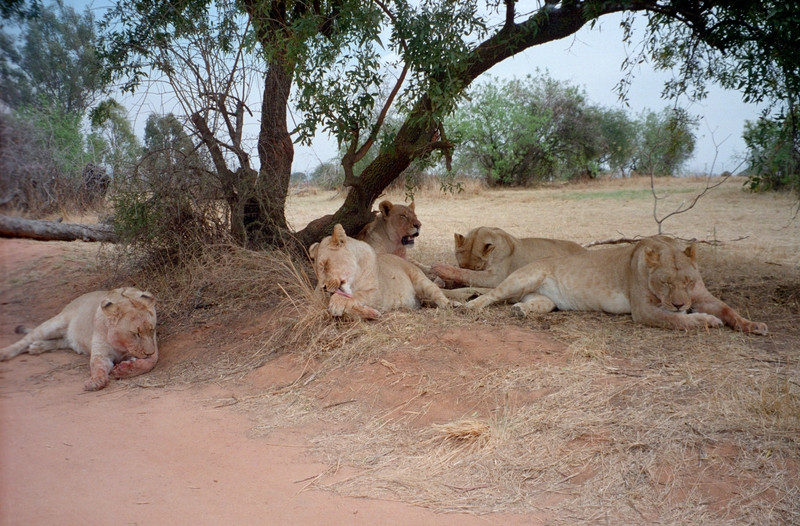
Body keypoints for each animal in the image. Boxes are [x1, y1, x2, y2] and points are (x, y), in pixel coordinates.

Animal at [0, 288, 159, 392]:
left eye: (151, 330)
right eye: (135, 334)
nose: (148, 352)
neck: (120, 343)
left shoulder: (153, 348)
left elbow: (149, 363)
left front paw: (125, 369)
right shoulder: (100, 352)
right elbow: (97, 366)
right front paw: (95, 381)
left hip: (67, 337)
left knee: (60, 341)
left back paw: (37, 347)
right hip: (55, 323)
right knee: (26, 339)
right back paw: (5, 353)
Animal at [310, 225, 454, 320]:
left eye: (324, 265)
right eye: (317, 271)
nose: (323, 287)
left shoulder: (378, 293)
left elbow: (356, 295)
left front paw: (337, 302)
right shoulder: (317, 300)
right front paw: (369, 312)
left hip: (420, 279)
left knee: (437, 293)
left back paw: (452, 304)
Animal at [466, 237, 764, 336]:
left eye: (688, 281)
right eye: (665, 282)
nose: (680, 304)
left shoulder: (700, 295)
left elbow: (727, 309)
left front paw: (753, 325)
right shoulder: (644, 311)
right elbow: (678, 321)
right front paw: (707, 321)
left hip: (545, 300)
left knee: (533, 304)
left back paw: (520, 311)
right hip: (524, 277)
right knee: (492, 294)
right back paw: (470, 306)